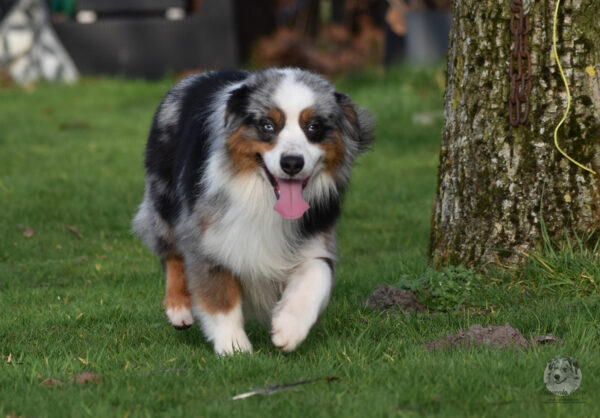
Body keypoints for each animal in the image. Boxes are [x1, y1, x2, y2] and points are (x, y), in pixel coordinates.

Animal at [132, 68, 373, 355]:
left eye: (313, 127)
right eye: (267, 126)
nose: (292, 163)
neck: (263, 197)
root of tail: (201, 74)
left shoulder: (316, 236)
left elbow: (318, 274)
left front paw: (289, 329)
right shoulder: (208, 235)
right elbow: (220, 296)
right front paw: (234, 347)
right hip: (163, 196)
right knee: (170, 252)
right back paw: (178, 308)